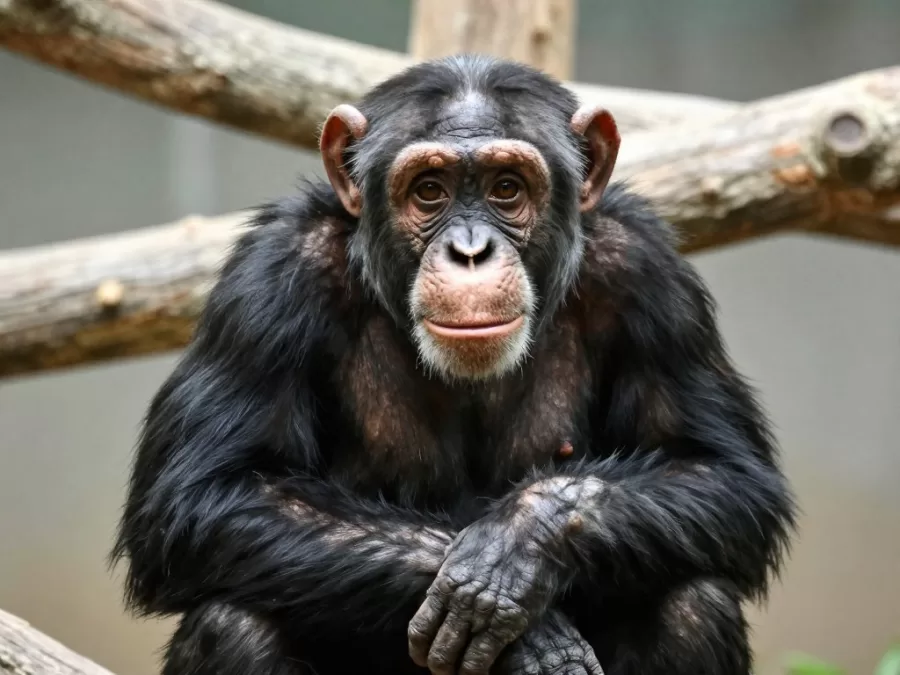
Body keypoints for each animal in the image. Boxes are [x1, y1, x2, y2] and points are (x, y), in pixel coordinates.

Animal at [112, 54, 796, 675]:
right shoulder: (268, 282)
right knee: (233, 623)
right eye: (429, 191)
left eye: (506, 188)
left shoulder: (651, 275)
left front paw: (516, 547)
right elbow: (204, 495)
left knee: (696, 604)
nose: (471, 251)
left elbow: (720, 473)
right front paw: (527, 627)